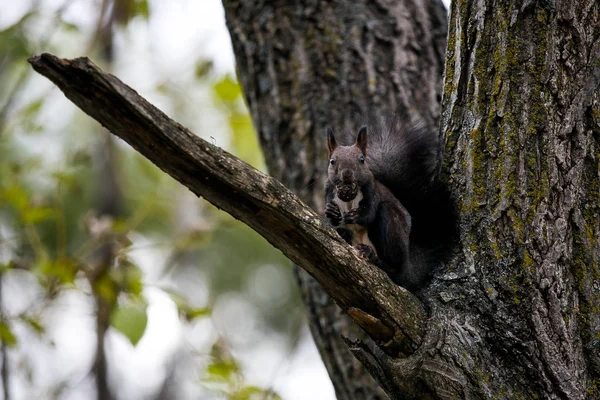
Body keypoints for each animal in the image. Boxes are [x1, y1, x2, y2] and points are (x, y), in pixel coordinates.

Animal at [326, 117, 458, 290]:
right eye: (332, 161)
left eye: (362, 160)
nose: (347, 174)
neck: (349, 198)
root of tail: (409, 268)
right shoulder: (330, 192)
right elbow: (333, 221)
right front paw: (330, 212)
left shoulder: (373, 193)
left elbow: (368, 215)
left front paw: (356, 216)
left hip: (392, 228)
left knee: (394, 268)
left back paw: (377, 260)